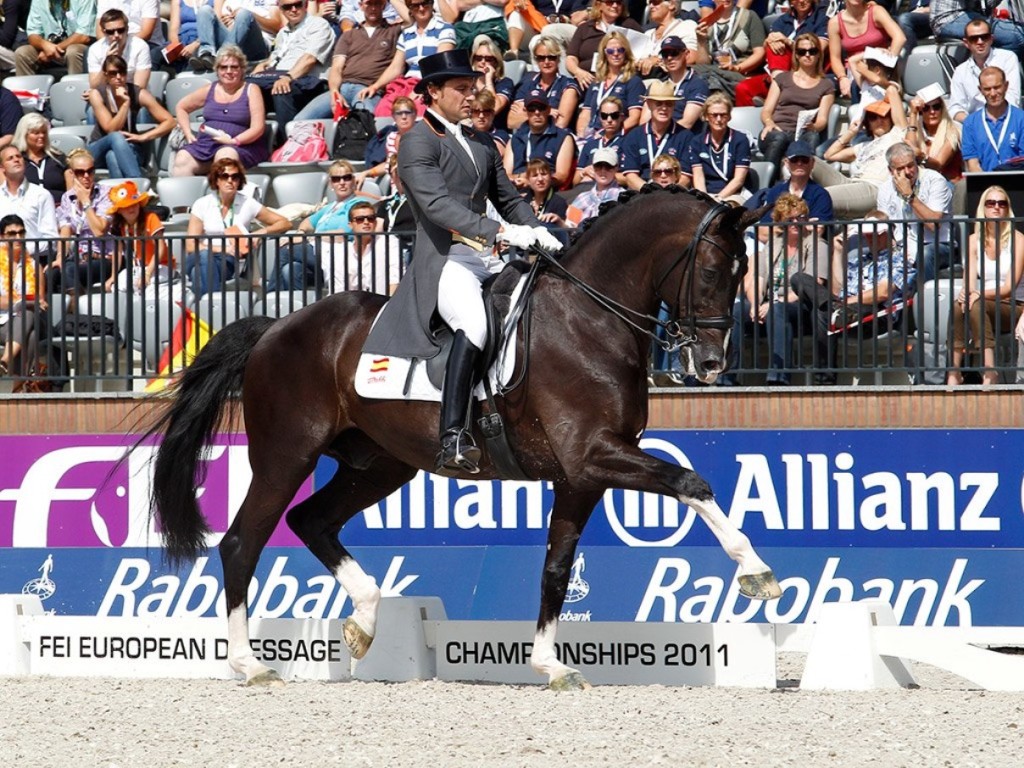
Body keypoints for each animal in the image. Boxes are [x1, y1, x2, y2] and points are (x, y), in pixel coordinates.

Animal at [144, 186, 778, 692]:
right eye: (713, 271)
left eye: (743, 271)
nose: (712, 364)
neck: (588, 318)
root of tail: (274, 326)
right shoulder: (593, 455)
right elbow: (690, 480)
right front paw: (755, 572)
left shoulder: (581, 476)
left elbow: (557, 567)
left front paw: (550, 665)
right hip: (286, 455)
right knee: (243, 542)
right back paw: (250, 664)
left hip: (380, 465)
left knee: (312, 520)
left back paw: (364, 622)